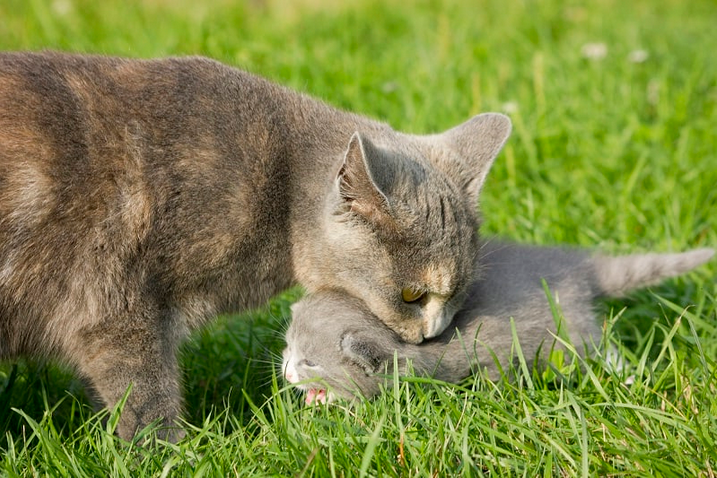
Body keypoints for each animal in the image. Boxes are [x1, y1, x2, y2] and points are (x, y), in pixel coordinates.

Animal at [1, 51, 516, 436]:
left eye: (459, 294)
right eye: (412, 295)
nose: (433, 333)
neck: (279, 193)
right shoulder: (114, 302)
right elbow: (145, 398)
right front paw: (171, 456)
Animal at [282, 241, 712, 402]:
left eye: (311, 362)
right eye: (287, 347)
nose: (285, 373)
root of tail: (579, 268)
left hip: (571, 328)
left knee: (599, 346)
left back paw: (629, 376)